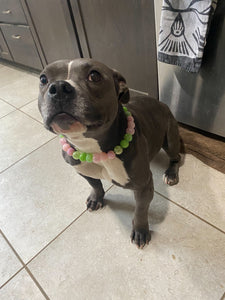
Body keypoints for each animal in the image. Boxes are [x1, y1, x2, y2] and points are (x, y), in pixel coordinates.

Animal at [37, 58, 181, 248]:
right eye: (43, 79)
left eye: (94, 75)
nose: (59, 87)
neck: (93, 150)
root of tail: (161, 103)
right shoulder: (82, 171)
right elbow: (95, 184)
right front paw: (96, 198)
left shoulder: (143, 186)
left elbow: (141, 210)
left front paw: (141, 231)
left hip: (170, 139)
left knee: (176, 157)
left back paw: (171, 174)